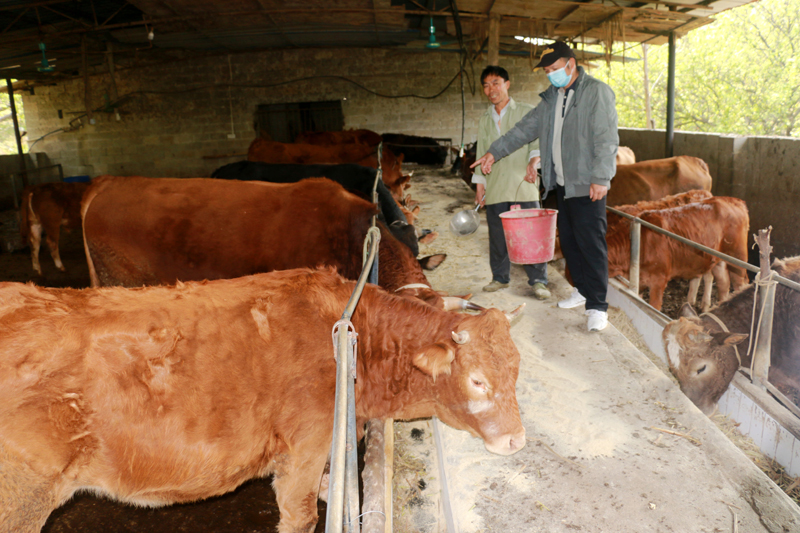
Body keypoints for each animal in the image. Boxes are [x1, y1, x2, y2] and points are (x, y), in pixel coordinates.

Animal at [0, 268, 528, 528]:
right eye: (477, 381)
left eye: (517, 367)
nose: (517, 442)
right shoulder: (305, 449)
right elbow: (300, 515)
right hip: (23, 498)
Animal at [608, 197, 752, 310]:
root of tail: (734, 200)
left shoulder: (659, 281)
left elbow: (654, 306)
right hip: (718, 260)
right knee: (723, 283)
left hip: (738, 258)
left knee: (741, 284)